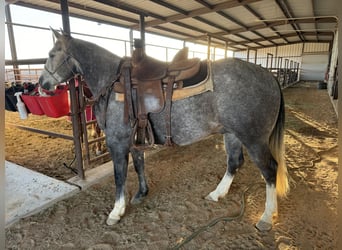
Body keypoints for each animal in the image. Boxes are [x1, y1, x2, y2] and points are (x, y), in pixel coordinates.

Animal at [38, 30, 288, 231]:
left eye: (51, 54)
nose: (41, 84)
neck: (114, 82)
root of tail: (269, 76)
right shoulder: (133, 140)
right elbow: (139, 165)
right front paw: (141, 194)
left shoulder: (117, 143)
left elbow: (119, 176)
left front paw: (116, 212)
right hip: (232, 134)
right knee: (234, 162)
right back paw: (217, 194)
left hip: (254, 139)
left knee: (270, 170)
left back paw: (266, 217)